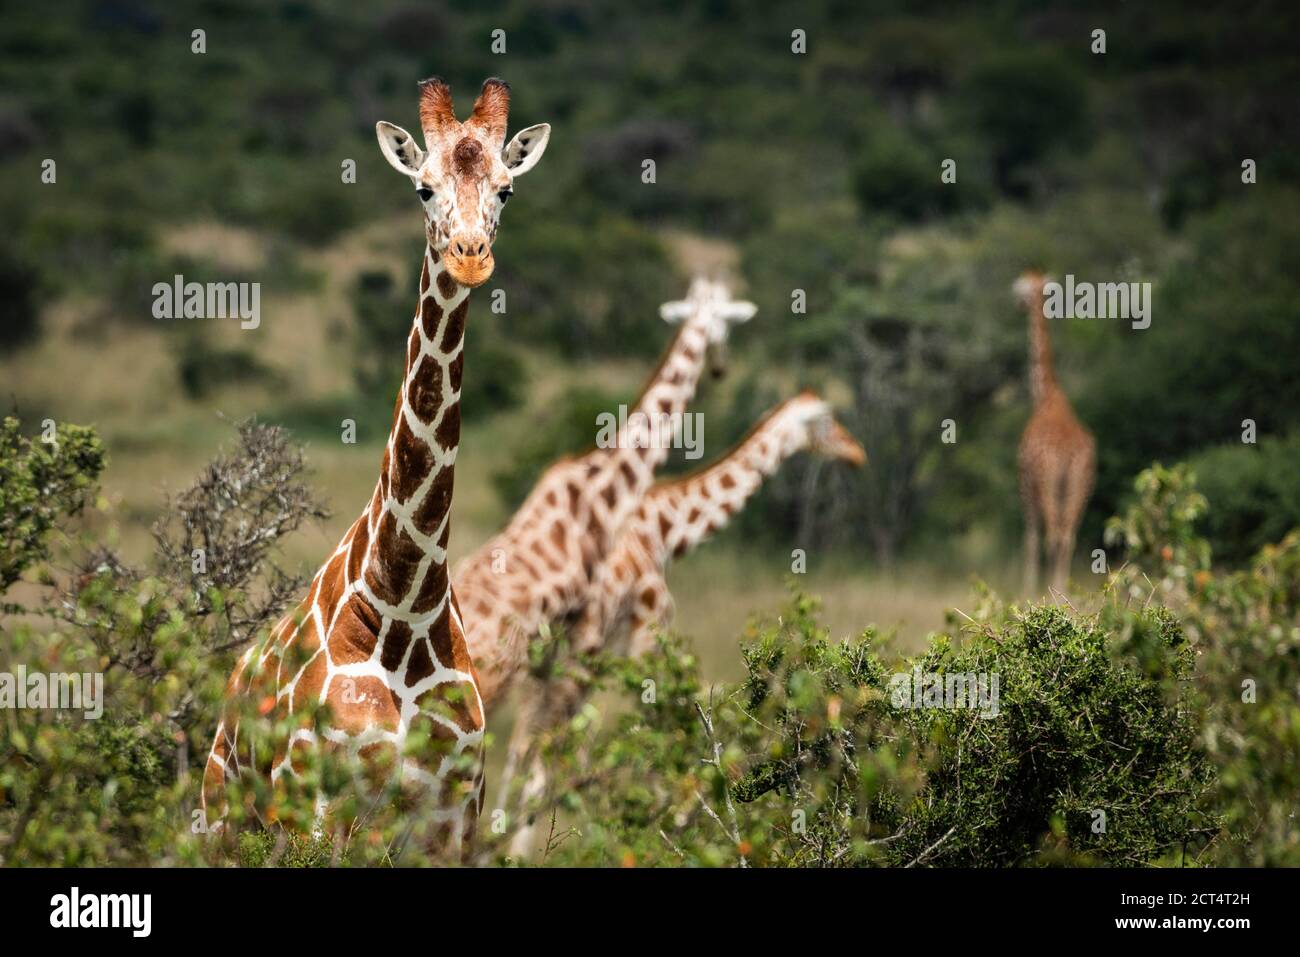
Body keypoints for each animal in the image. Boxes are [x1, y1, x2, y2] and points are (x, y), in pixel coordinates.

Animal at [201, 77, 552, 856]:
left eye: (507, 189)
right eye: (423, 187)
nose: (470, 255)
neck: (404, 604)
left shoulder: (455, 818)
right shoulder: (323, 810)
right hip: (223, 823)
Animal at [503, 390, 866, 856]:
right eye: (826, 420)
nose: (856, 453)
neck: (666, 530)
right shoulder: (645, 634)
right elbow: (653, 723)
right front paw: (663, 822)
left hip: (544, 660)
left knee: (523, 743)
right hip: (578, 654)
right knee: (542, 742)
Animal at [1015, 269, 1097, 595]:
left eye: (1021, 292)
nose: (1019, 305)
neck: (1045, 395)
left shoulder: (1025, 487)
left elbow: (1030, 540)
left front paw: (1025, 594)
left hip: (1047, 485)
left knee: (1053, 535)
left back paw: (1053, 595)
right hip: (1079, 487)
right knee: (1067, 536)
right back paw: (1062, 594)